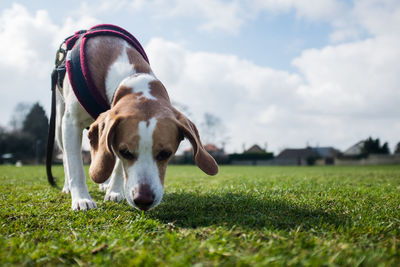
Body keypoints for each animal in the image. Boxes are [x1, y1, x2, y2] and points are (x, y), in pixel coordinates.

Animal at [50, 27, 219, 211]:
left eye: (165, 154)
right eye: (126, 152)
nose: (143, 199)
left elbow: (115, 165)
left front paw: (114, 191)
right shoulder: (72, 122)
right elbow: (75, 166)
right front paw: (82, 199)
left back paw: (105, 183)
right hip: (59, 124)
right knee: (66, 158)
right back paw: (68, 187)